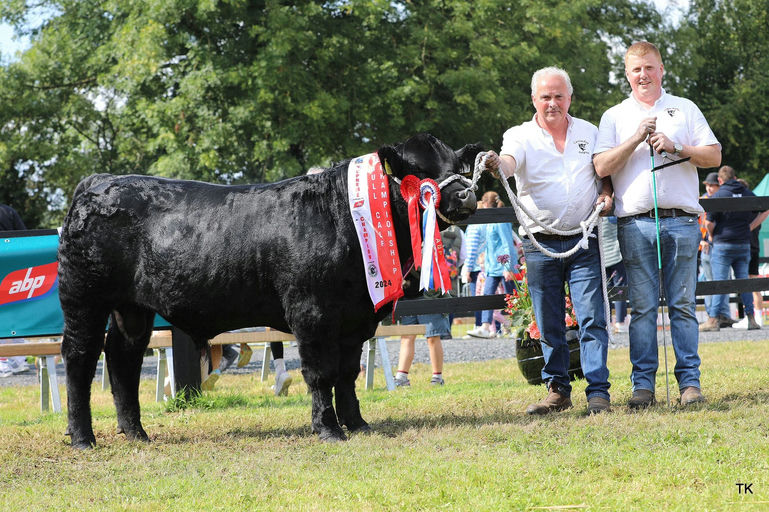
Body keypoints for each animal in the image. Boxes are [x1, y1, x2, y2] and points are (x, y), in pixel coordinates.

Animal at [58, 133, 482, 449]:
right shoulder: (312, 314)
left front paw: (358, 423)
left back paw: (136, 432)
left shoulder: (356, 319)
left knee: (122, 358)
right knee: (81, 357)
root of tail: (99, 183)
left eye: (457, 167)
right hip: (84, 299)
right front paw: (328, 429)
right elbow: (321, 374)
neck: (342, 216)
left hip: (131, 308)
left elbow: (348, 373)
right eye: (417, 172)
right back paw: (83, 437)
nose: (465, 195)